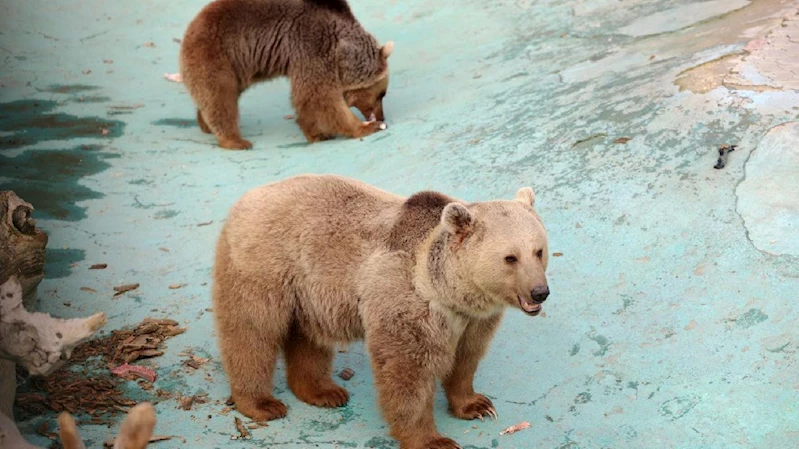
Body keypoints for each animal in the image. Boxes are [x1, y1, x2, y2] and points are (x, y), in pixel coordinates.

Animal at [180, 0, 396, 150]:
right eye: (381, 94)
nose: (382, 117)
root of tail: (190, 28)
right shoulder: (312, 45)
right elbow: (319, 96)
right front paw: (365, 127)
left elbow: (308, 98)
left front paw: (316, 133)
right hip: (216, 55)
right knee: (220, 99)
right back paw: (235, 140)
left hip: (237, 68)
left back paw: (204, 123)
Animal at [211, 173, 552, 446]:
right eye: (510, 257)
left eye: (538, 251)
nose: (540, 292)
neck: (448, 291)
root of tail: (247, 197)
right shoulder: (405, 302)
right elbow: (407, 373)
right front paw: (434, 440)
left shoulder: (472, 320)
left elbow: (466, 358)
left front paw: (477, 405)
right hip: (265, 264)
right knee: (252, 332)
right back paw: (261, 403)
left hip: (308, 292)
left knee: (308, 338)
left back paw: (323, 391)